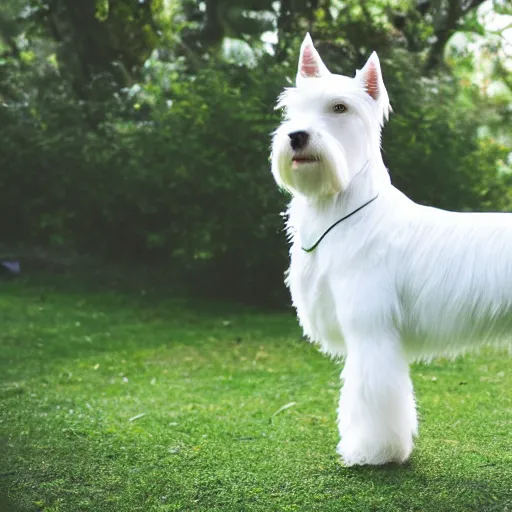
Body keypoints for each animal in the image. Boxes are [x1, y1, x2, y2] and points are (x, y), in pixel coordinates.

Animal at [270, 31, 510, 464]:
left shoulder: (371, 332)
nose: (296, 136)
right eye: (291, 109)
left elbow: (372, 396)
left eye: (340, 107)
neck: (342, 208)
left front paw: (372, 451)